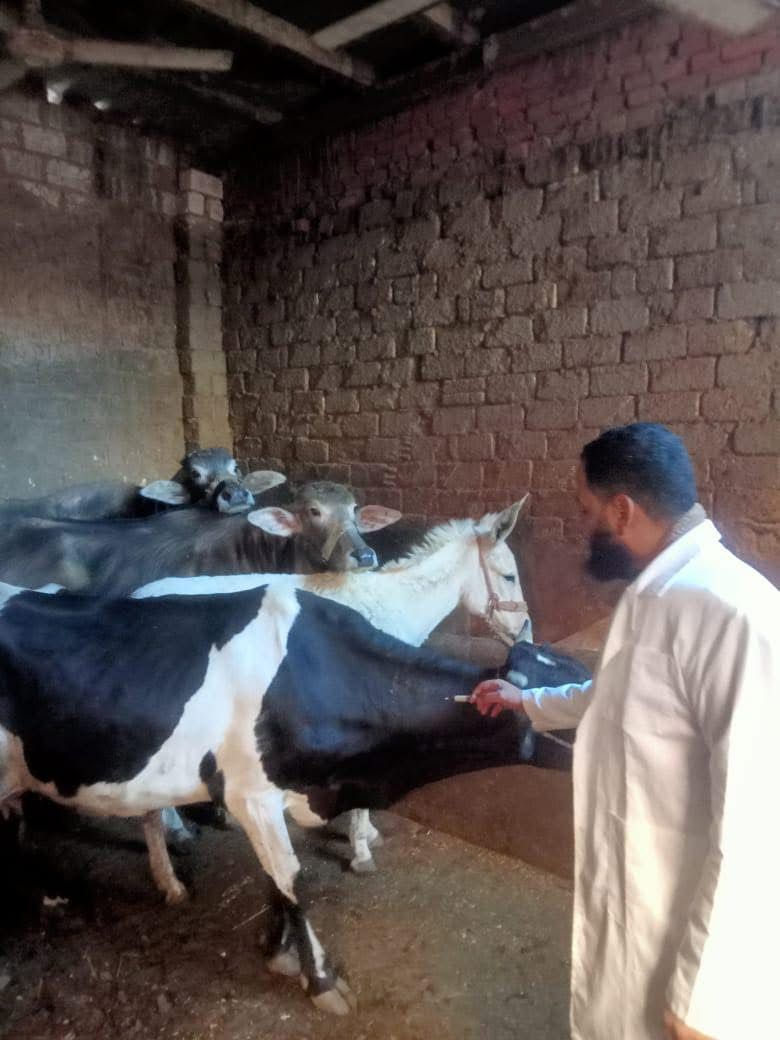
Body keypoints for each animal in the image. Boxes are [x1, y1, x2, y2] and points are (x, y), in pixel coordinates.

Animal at [0, 504, 528, 1015]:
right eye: (508, 575)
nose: (524, 628)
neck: (384, 609)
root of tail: (143, 590)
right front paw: (361, 851)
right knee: (147, 811)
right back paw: (169, 872)